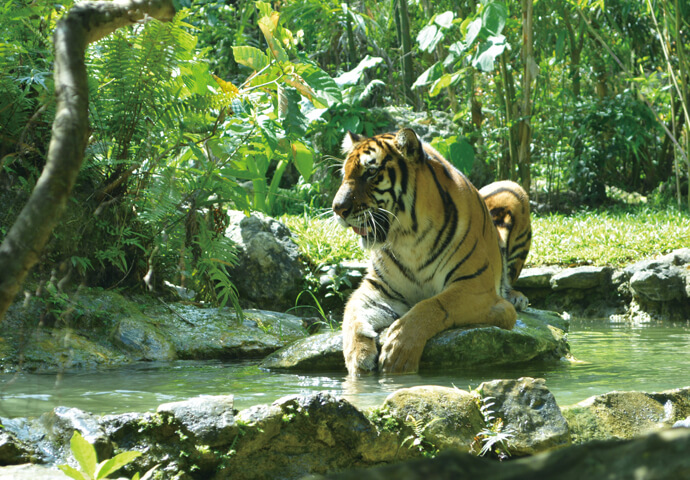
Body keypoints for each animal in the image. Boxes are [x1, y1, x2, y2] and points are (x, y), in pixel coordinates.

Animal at [330, 127, 528, 376]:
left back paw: (517, 298)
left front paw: (399, 350)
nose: (337, 209)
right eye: (343, 174)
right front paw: (358, 356)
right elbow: (352, 313)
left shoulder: (475, 286)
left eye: (371, 172)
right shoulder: (379, 288)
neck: (409, 238)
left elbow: (433, 305)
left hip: (513, 189)